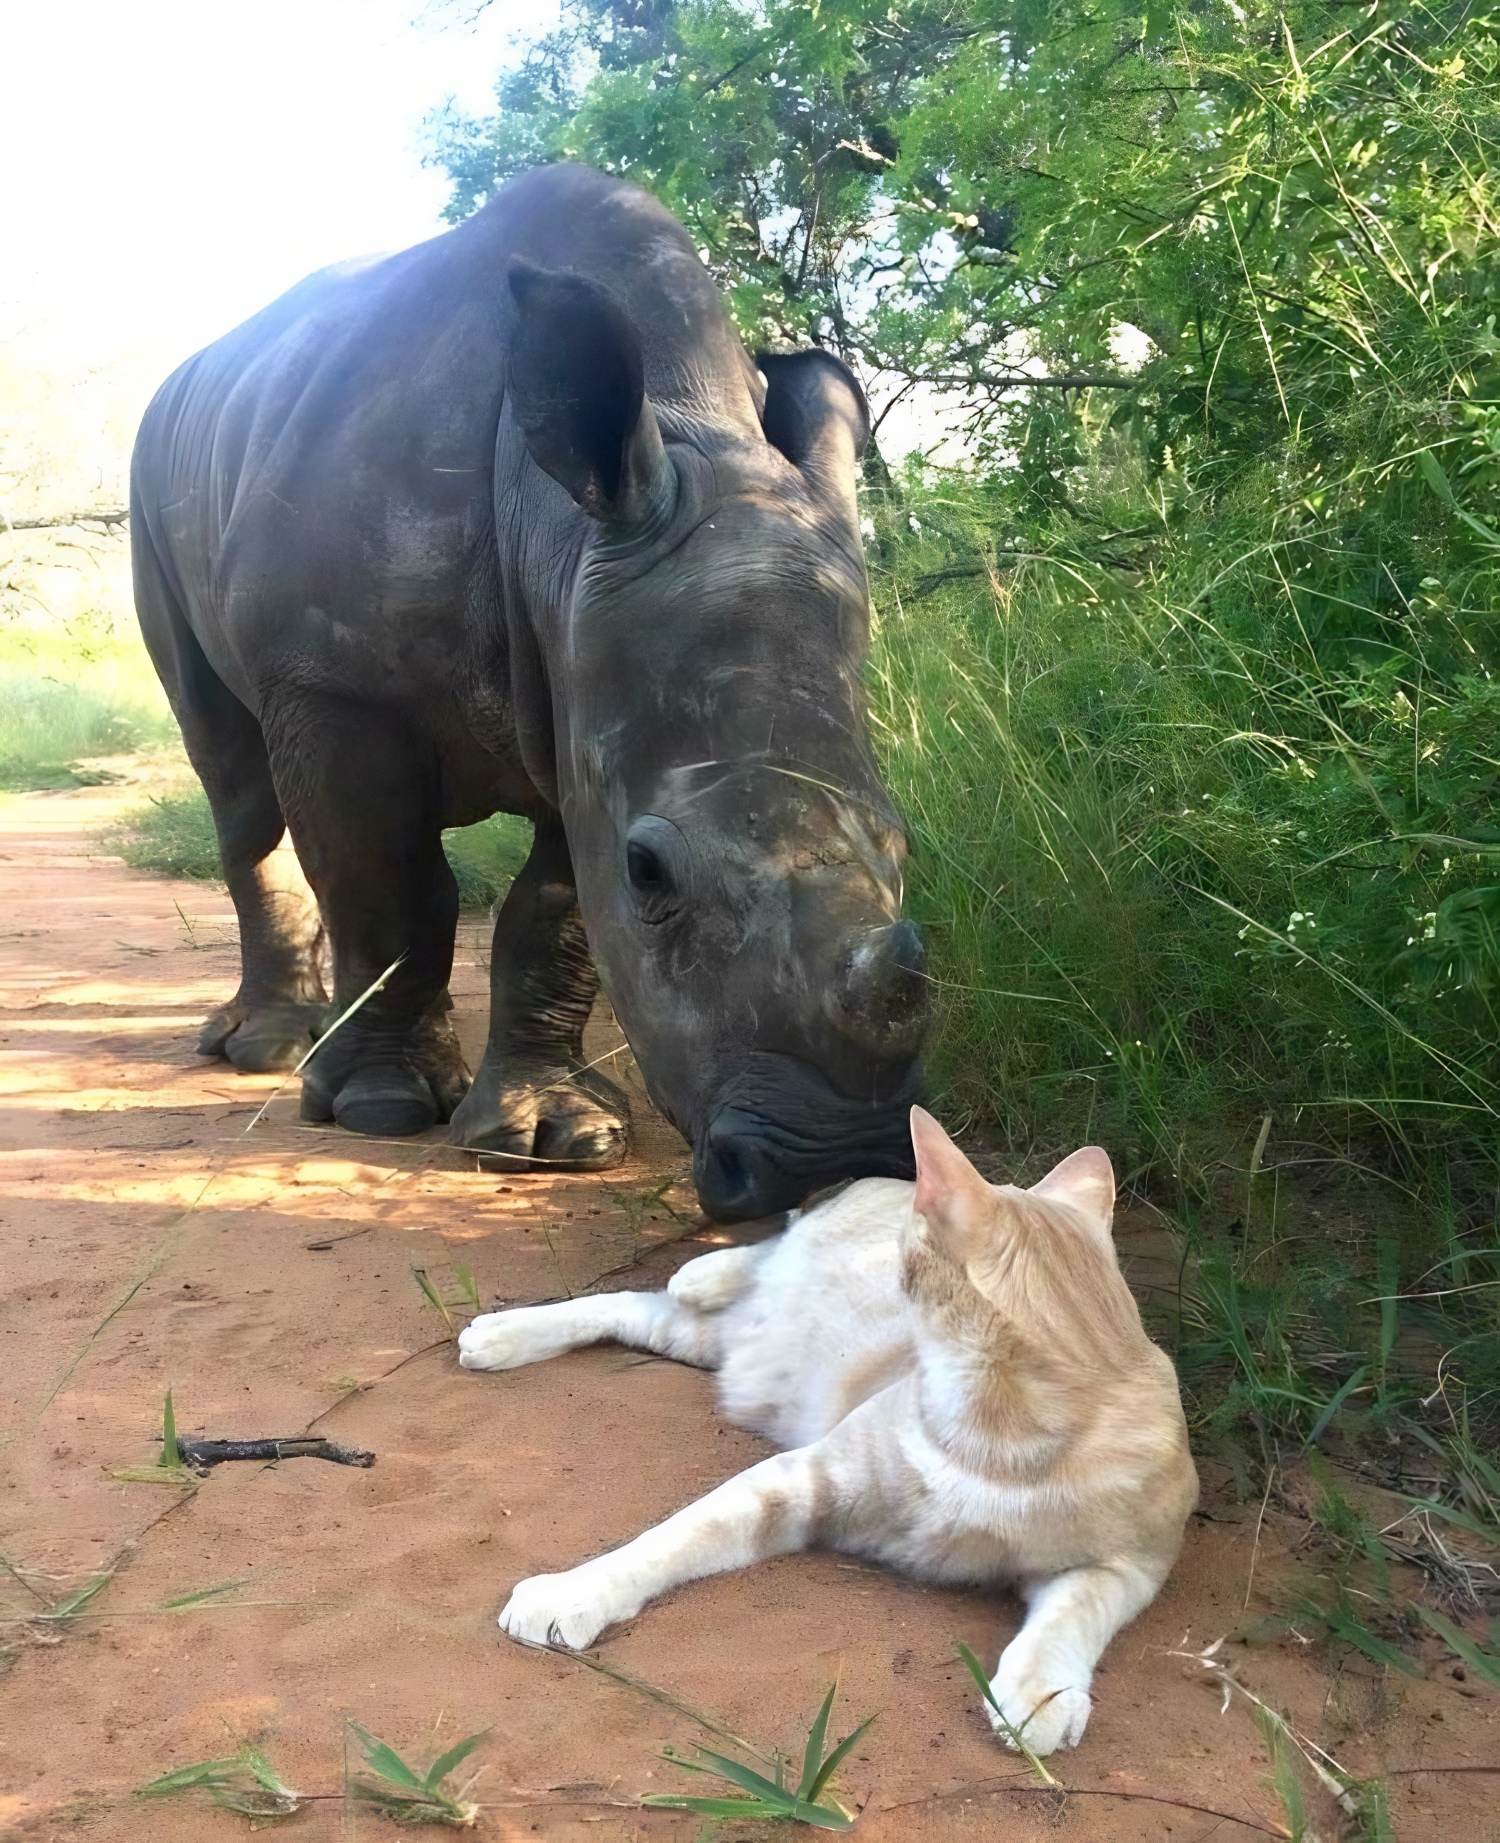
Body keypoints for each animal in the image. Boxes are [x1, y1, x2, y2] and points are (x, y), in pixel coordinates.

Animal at [130, 163, 926, 1221]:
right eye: (651, 871)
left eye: (899, 842)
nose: (838, 1156)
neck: (559, 526)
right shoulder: (333, 683)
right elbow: (386, 885)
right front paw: (379, 1109)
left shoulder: (583, 691)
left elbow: (555, 914)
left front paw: (552, 1139)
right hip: (154, 480)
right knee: (232, 774)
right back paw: (267, 1049)